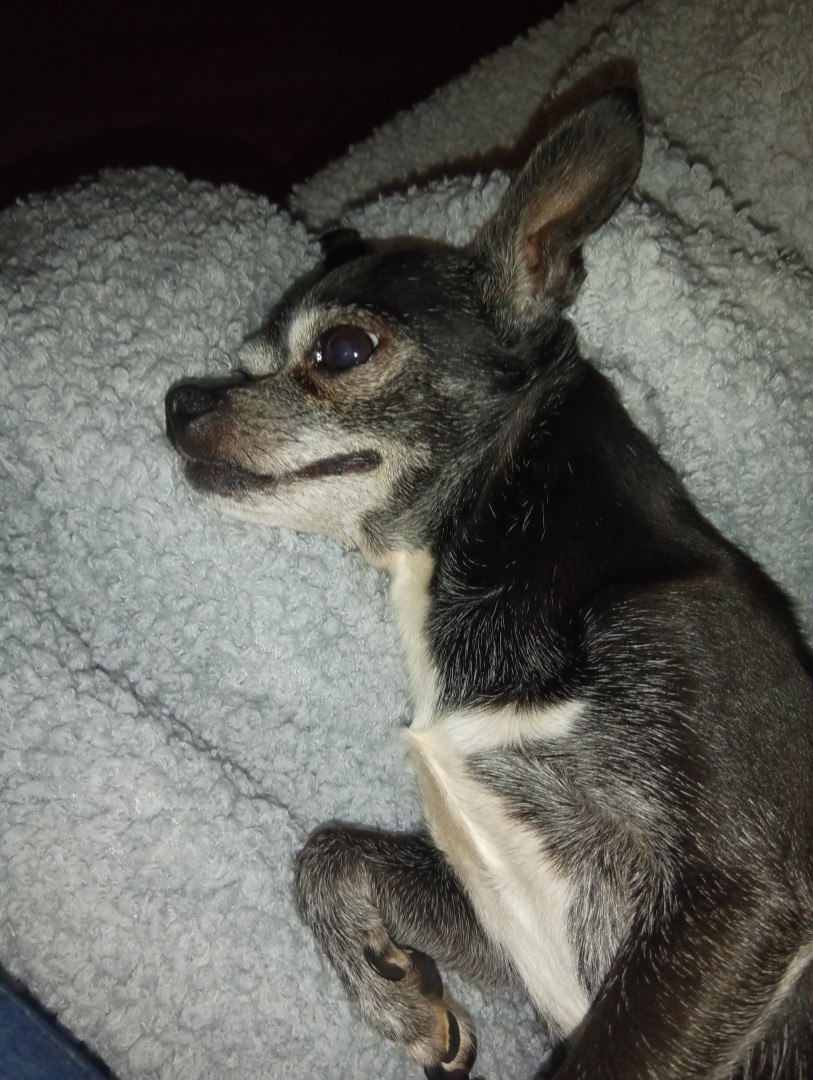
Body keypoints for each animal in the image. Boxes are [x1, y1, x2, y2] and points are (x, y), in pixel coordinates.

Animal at [165, 86, 813, 1079]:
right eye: (245, 363)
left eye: (341, 352)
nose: (176, 404)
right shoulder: (501, 925)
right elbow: (328, 850)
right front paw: (392, 995)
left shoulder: (740, 892)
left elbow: (608, 1058)